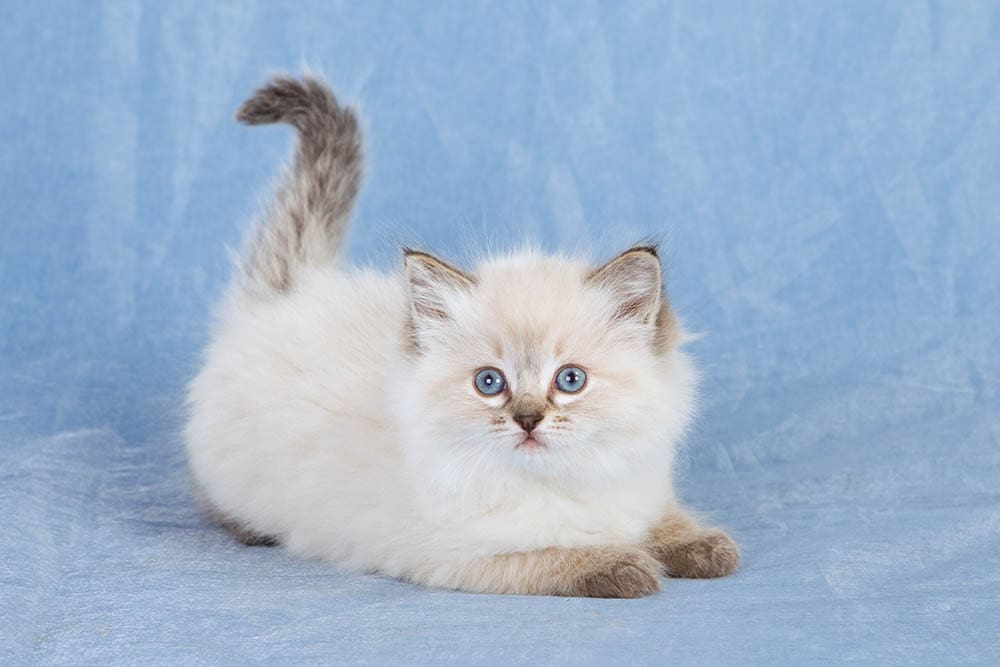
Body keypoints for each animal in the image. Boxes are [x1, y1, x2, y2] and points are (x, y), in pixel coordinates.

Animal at [186, 74, 744, 600]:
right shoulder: (460, 554)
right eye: (489, 383)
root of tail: (287, 292)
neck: (561, 480)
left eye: (570, 379)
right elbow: (554, 557)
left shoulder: (640, 488)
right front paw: (625, 565)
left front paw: (704, 547)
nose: (528, 420)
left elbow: (663, 520)